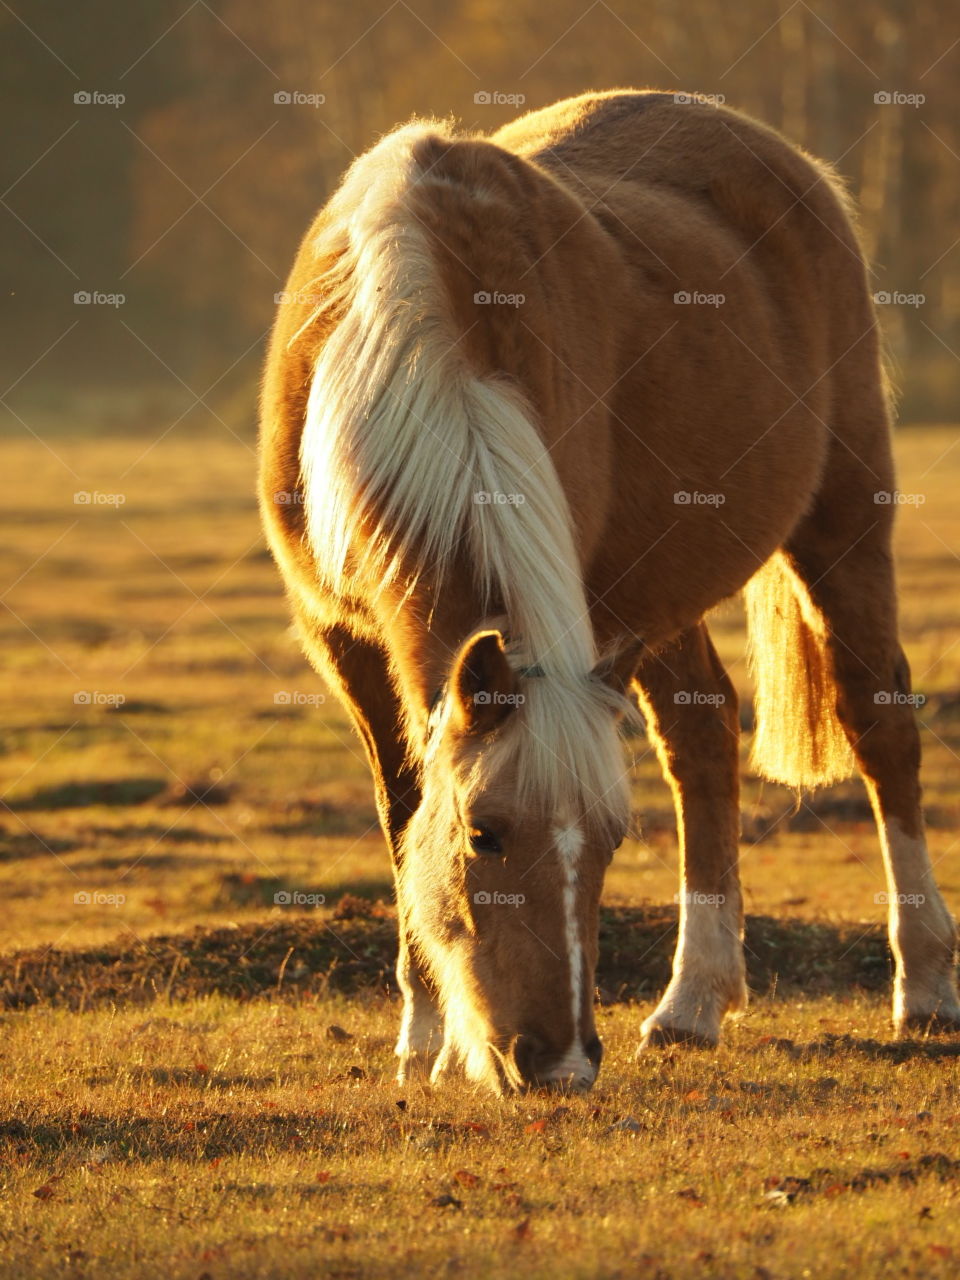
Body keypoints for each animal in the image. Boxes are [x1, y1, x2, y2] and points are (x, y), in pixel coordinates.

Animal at [259, 89, 960, 1095]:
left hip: (842, 520)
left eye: (610, 842)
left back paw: (926, 988)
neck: (400, 330)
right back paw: (692, 1004)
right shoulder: (342, 638)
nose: (559, 1063)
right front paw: (426, 1036)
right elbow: (402, 807)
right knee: (704, 740)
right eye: (487, 835)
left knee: (880, 727)